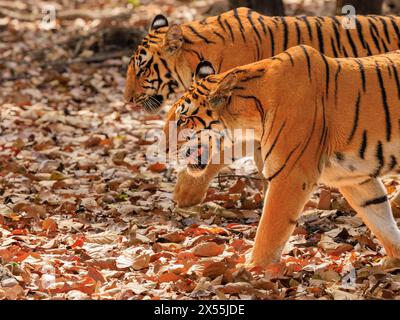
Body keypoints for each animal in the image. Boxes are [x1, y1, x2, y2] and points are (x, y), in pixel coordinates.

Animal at [164, 46, 400, 268]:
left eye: (183, 119)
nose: (165, 147)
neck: (251, 117)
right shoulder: (353, 177)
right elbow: (380, 218)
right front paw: (396, 258)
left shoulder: (290, 174)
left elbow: (270, 227)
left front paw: (253, 267)